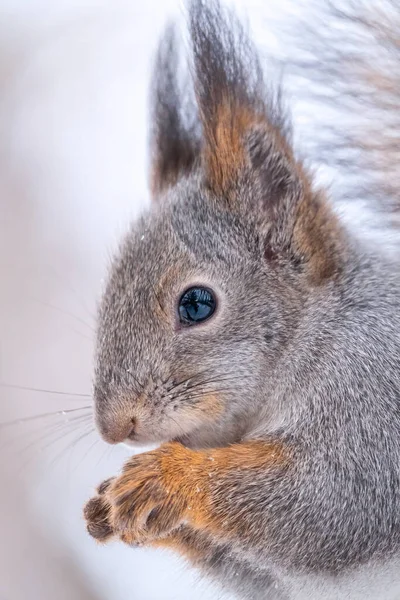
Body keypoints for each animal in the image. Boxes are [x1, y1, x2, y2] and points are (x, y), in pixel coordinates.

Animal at [83, 1, 400, 600]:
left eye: (196, 304)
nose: (114, 428)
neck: (319, 332)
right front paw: (108, 506)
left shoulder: (373, 405)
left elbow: (327, 496)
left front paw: (169, 477)